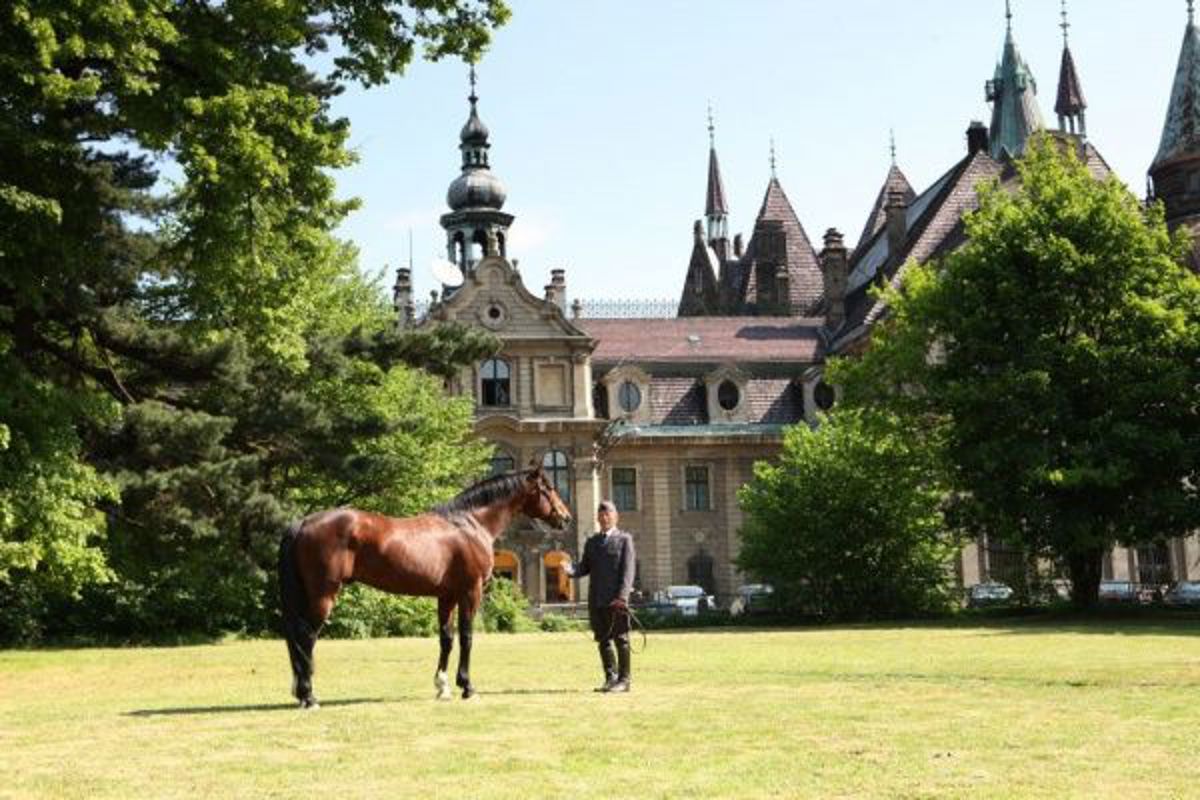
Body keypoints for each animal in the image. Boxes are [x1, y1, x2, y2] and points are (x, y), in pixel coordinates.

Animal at [278, 470, 568, 705]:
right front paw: (467, 687)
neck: (469, 524)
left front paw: (443, 687)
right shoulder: (470, 592)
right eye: (548, 488)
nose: (565, 517)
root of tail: (303, 522)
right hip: (324, 593)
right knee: (306, 636)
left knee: (296, 637)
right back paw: (309, 696)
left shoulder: (446, 596)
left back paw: (300, 691)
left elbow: (446, 639)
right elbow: (467, 637)